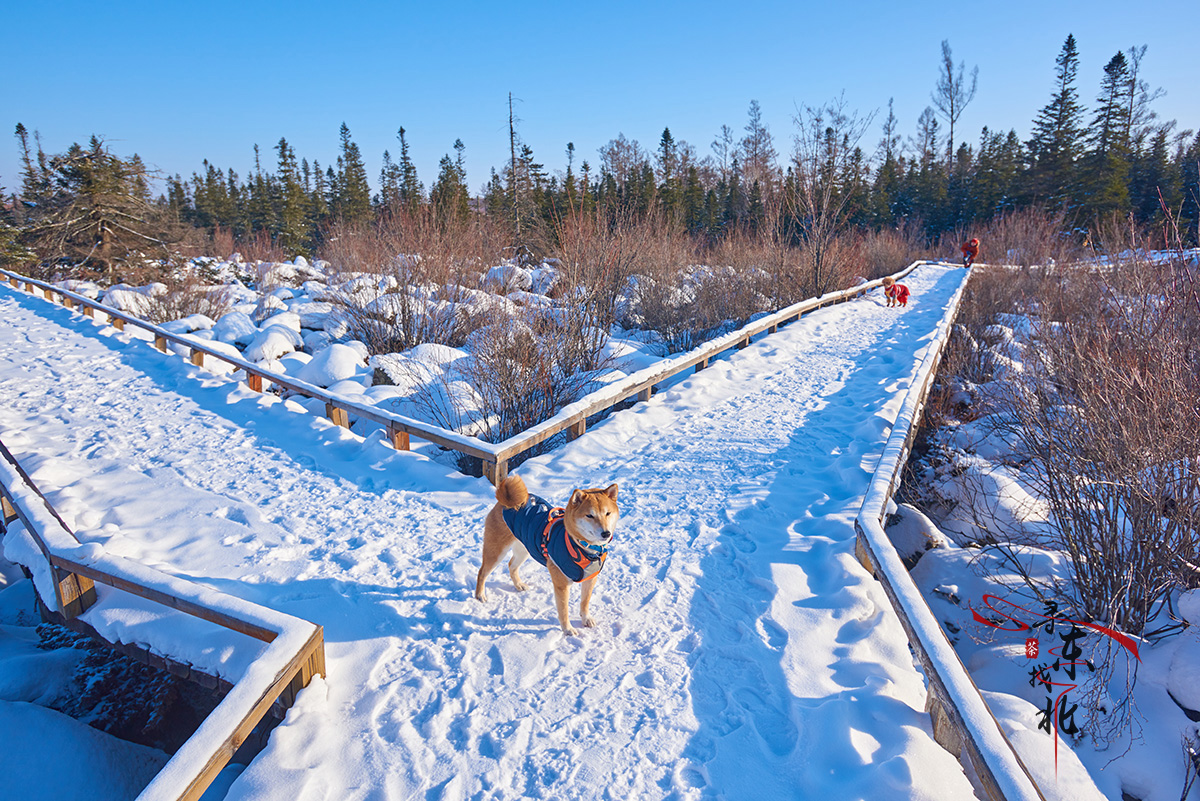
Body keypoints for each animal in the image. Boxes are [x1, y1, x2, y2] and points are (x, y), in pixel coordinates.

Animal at [472, 472, 619, 633]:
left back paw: (519, 585)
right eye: (590, 515)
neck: (582, 547)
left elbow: (585, 602)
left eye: (608, 513)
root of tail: (507, 503)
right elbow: (564, 610)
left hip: (525, 548)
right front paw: (568, 630)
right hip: (496, 551)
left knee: (511, 565)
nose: (606, 533)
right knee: (482, 572)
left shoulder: (590, 578)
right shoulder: (561, 585)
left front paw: (586, 618)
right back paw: (480, 595)